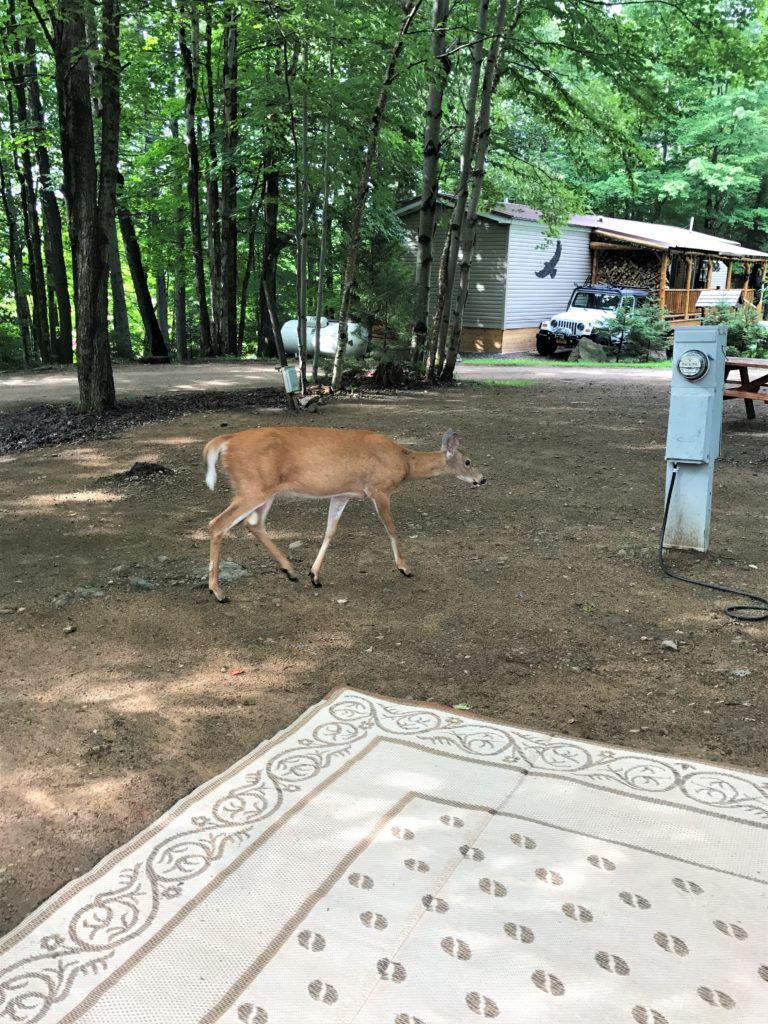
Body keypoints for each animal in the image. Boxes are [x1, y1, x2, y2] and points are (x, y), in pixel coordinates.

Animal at [204, 423, 487, 598]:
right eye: (468, 461)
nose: (482, 479)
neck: (405, 462)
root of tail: (225, 441)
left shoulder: (342, 494)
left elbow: (330, 530)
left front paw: (314, 574)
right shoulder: (379, 489)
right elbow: (392, 529)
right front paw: (404, 567)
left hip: (264, 491)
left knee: (254, 524)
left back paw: (290, 571)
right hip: (252, 487)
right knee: (217, 523)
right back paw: (217, 591)